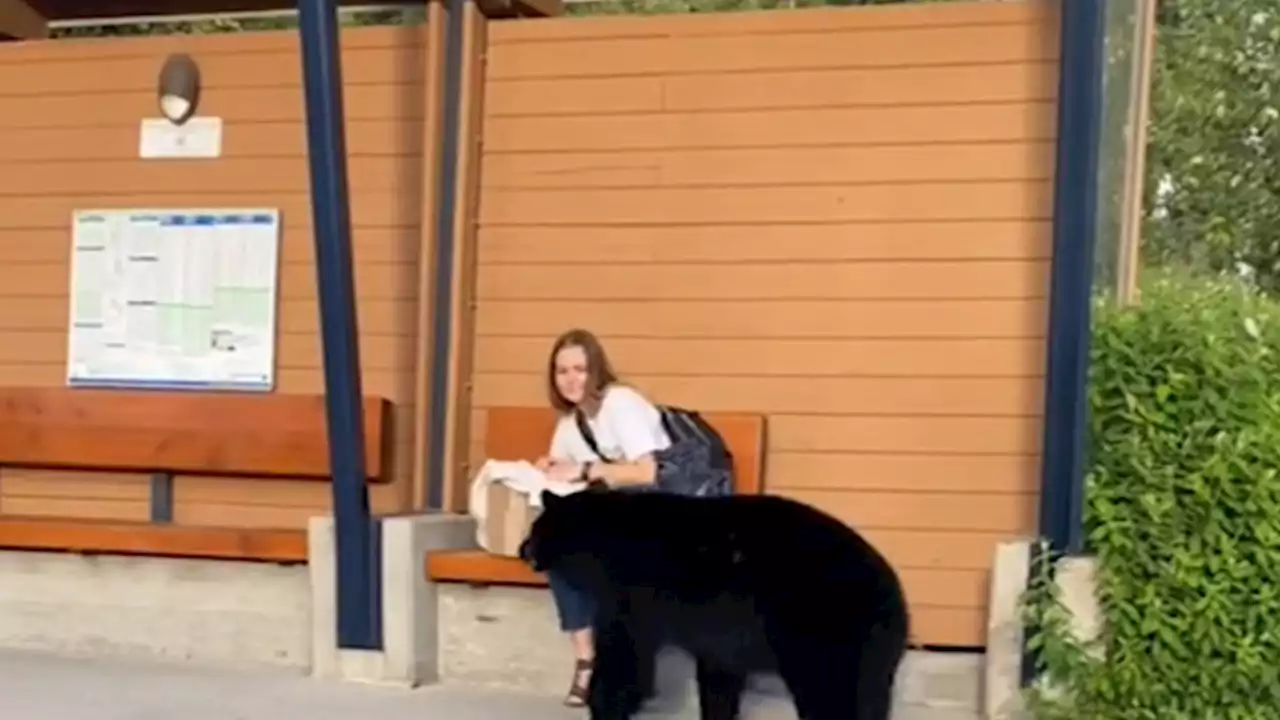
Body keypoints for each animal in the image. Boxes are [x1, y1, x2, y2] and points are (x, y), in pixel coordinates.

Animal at [519, 481, 911, 717]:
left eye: (535, 528)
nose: (523, 550)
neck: (603, 543)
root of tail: (894, 595)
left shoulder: (635, 593)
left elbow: (625, 653)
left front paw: (605, 703)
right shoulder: (720, 628)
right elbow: (718, 673)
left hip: (821, 633)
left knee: (830, 695)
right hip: (870, 656)